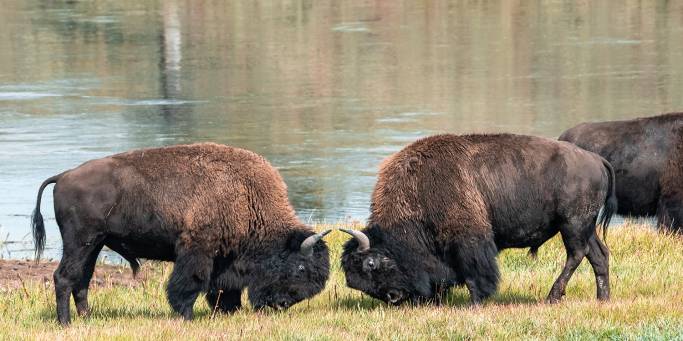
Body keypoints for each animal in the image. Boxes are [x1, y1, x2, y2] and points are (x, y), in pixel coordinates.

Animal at [32, 142, 332, 322]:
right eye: (301, 268)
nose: (281, 304)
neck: (247, 194)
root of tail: (64, 176)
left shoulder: (225, 257)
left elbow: (222, 286)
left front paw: (227, 310)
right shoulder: (197, 250)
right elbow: (190, 283)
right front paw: (186, 315)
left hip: (94, 244)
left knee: (82, 279)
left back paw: (86, 317)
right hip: (79, 242)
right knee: (64, 277)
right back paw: (66, 323)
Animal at [340, 133, 616, 306]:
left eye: (371, 264)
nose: (393, 297)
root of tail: (596, 159)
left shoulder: (469, 239)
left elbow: (475, 272)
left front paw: (475, 302)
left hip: (572, 224)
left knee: (576, 254)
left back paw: (553, 297)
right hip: (584, 227)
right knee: (598, 255)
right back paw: (602, 299)